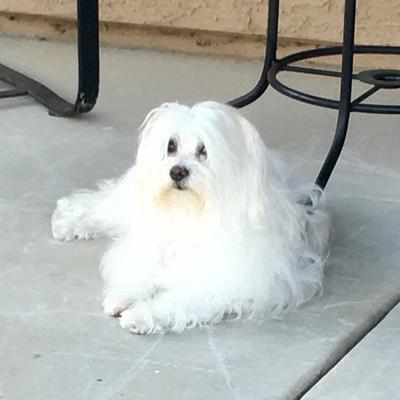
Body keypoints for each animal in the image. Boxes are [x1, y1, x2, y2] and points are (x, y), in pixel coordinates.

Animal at [51, 101, 330, 334]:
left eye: (203, 150)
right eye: (171, 146)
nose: (177, 172)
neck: (190, 215)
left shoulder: (216, 281)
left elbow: (176, 300)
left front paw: (141, 316)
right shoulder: (147, 246)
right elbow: (136, 271)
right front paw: (123, 296)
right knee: (103, 205)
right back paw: (68, 222)